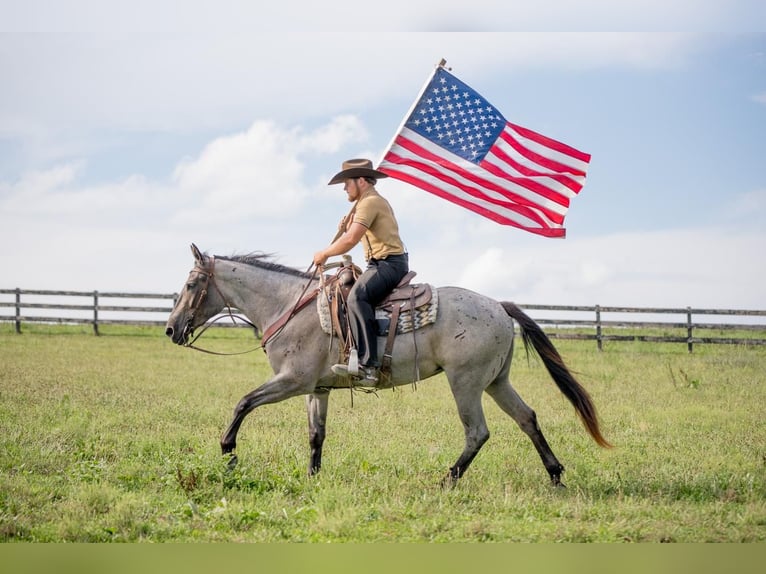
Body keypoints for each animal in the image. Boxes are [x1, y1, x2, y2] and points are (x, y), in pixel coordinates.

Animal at [168, 245, 612, 488]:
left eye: (190, 285)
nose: (172, 329)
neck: (289, 306)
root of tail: (499, 307)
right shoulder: (317, 388)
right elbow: (316, 436)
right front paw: (312, 478)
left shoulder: (291, 381)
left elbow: (243, 403)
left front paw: (228, 453)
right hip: (496, 381)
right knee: (527, 418)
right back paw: (555, 474)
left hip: (465, 383)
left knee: (477, 432)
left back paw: (446, 480)